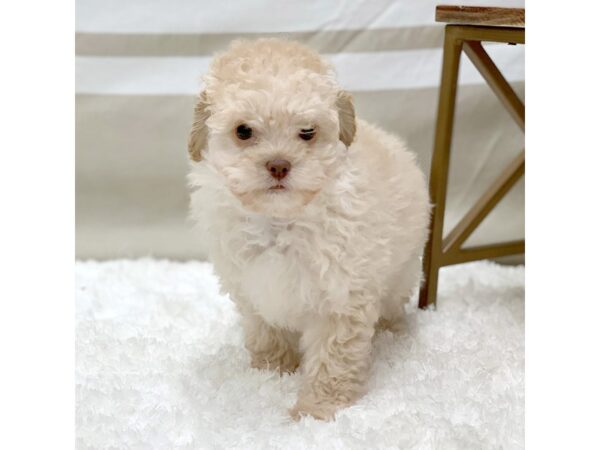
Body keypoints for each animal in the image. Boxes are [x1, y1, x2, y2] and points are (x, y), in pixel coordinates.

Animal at [188, 38, 426, 422]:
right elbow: (265, 333)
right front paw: (270, 372)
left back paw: (392, 332)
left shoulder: (341, 298)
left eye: (307, 132)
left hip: (401, 270)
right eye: (243, 131)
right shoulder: (251, 287)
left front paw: (316, 411)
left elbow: (333, 359)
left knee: (393, 303)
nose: (278, 165)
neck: (279, 220)